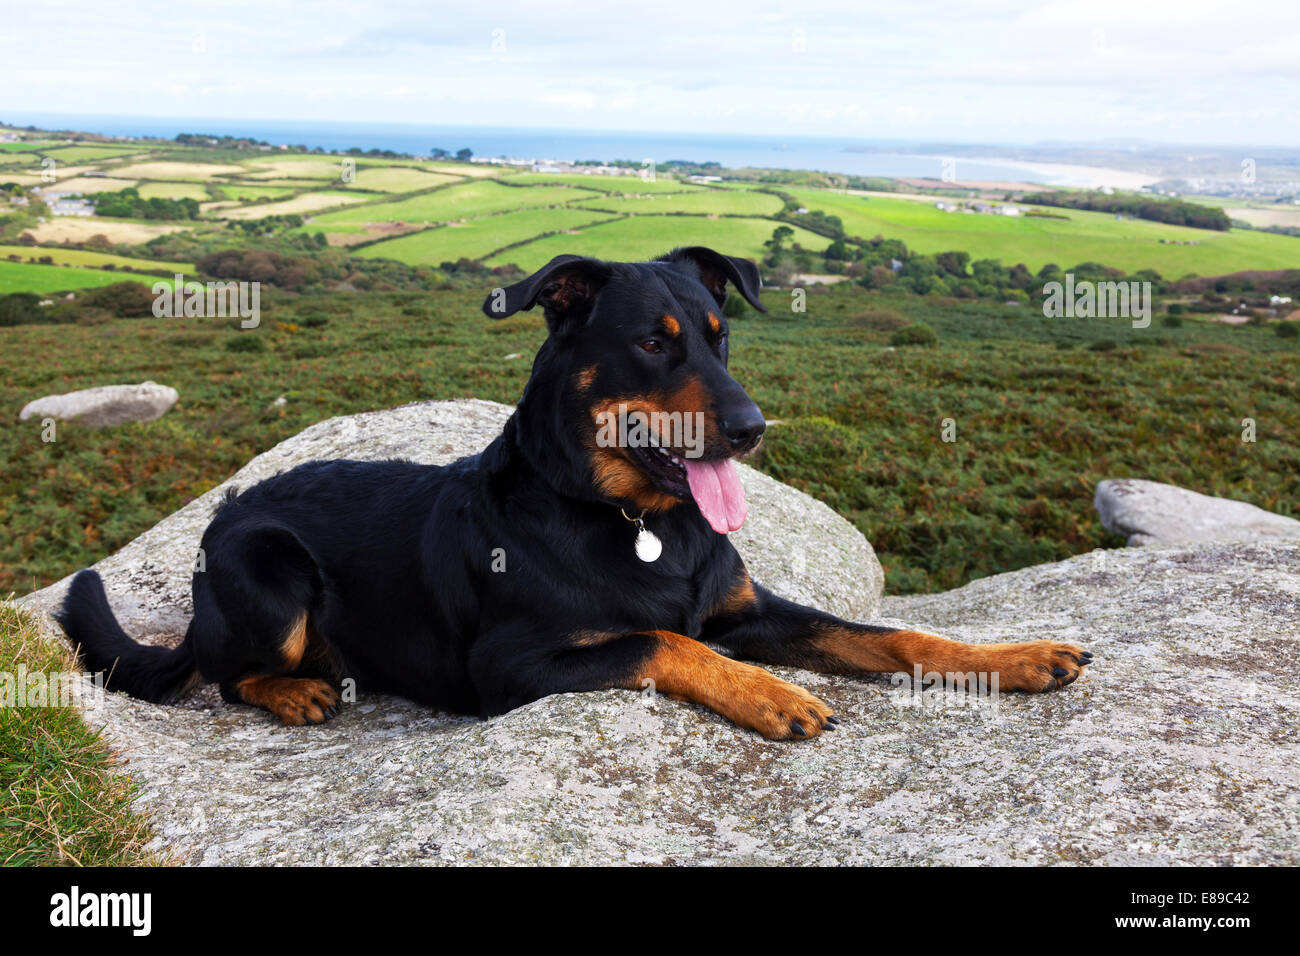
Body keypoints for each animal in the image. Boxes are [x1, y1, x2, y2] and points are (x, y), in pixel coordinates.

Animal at [55, 247, 1092, 738]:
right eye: (652, 343)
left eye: (721, 336)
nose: (754, 428)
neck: (633, 520)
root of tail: (221, 513)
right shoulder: (513, 669)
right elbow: (663, 640)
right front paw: (767, 693)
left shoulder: (750, 608)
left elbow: (890, 635)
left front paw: (1015, 657)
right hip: (269, 574)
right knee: (224, 673)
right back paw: (297, 690)